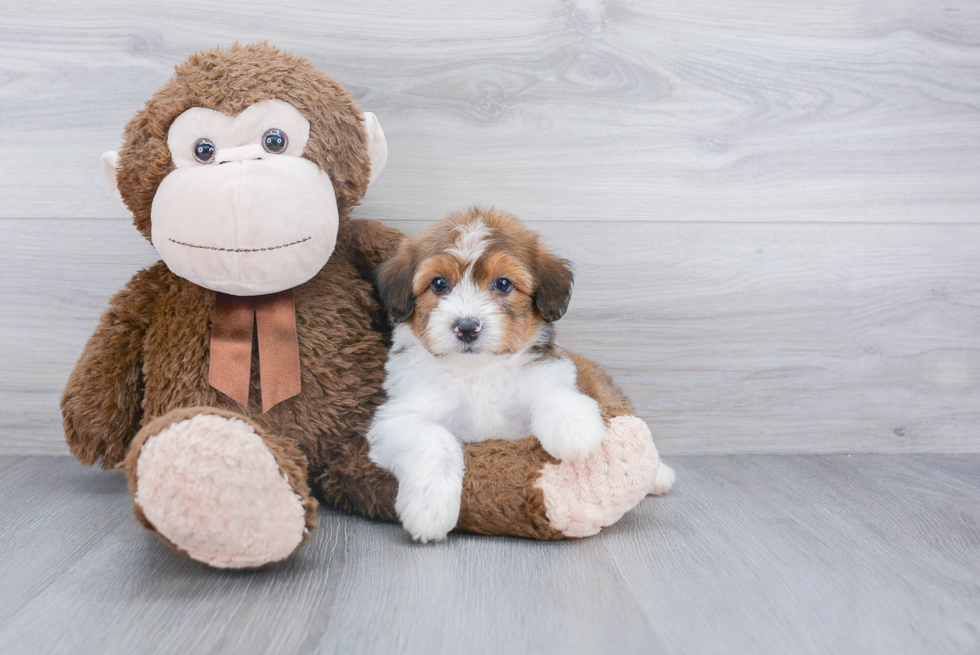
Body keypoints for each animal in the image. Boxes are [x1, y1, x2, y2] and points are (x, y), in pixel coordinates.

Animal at [368, 206, 612, 544]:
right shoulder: (396, 420)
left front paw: (572, 429)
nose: (467, 327)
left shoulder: (546, 377)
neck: (478, 373)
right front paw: (429, 507)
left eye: (503, 284)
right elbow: (436, 438)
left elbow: (555, 394)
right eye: (439, 283)